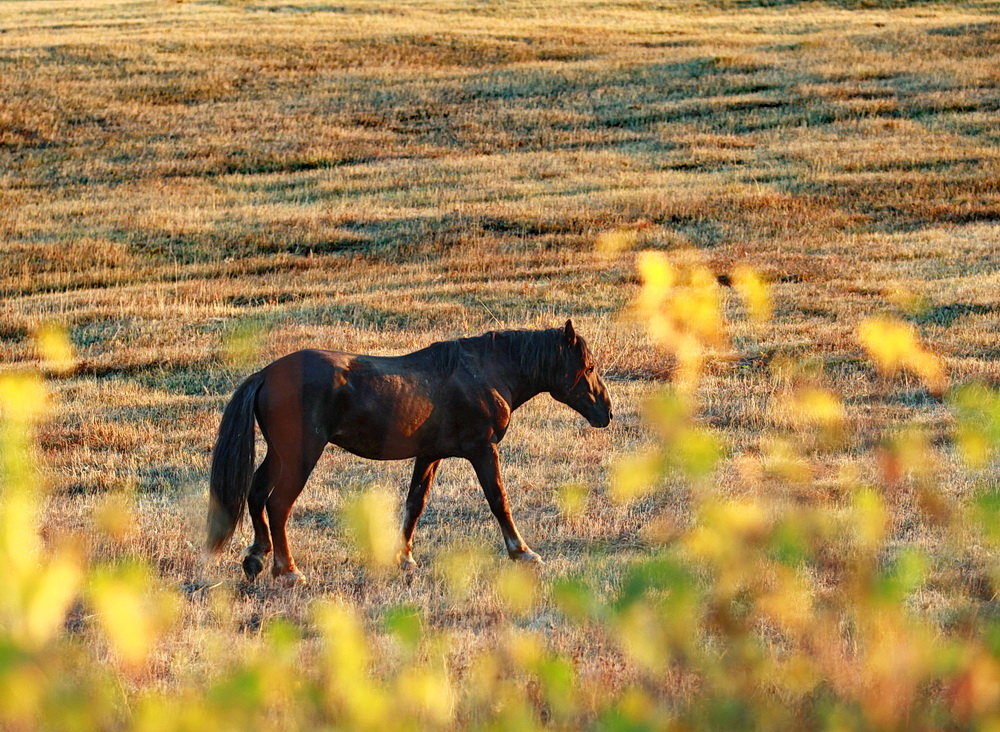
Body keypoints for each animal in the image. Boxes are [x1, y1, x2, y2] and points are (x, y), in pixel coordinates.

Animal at [207, 320, 612, 584]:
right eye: (589, 366)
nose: (606, 411)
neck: (485, 373)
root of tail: (266, 374)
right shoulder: (482, 449)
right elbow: (499, 501)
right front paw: (522, 551)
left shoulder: (429, 455)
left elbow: (414, 505)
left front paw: (404, 558)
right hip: (301, 455)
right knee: (277, 505)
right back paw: (288, 570)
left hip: (280, 454)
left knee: (256, 494)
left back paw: (256, 557)